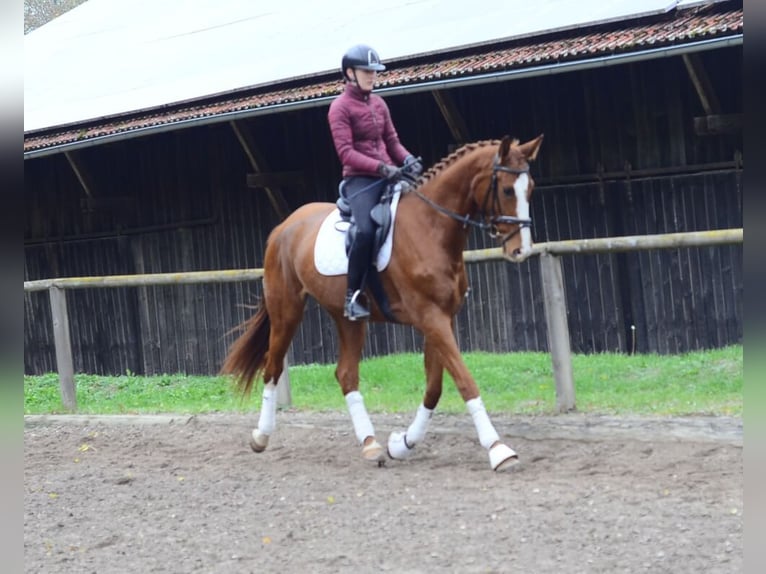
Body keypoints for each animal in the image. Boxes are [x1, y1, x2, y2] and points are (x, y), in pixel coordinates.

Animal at [221, 134, 544, 471]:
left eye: (530, 188)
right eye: (506, 189)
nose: (521, 250)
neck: (430, 227)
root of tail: (283, 227)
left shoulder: (443, 318)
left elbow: (434, 387)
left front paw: (402, 444)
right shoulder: (431, 318)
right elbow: (464, 381)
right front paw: (498, 449)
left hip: (348, 318)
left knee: (346, 375)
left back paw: (370, 444)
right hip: (286, 310)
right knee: (272, 367)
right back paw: (261, 436)